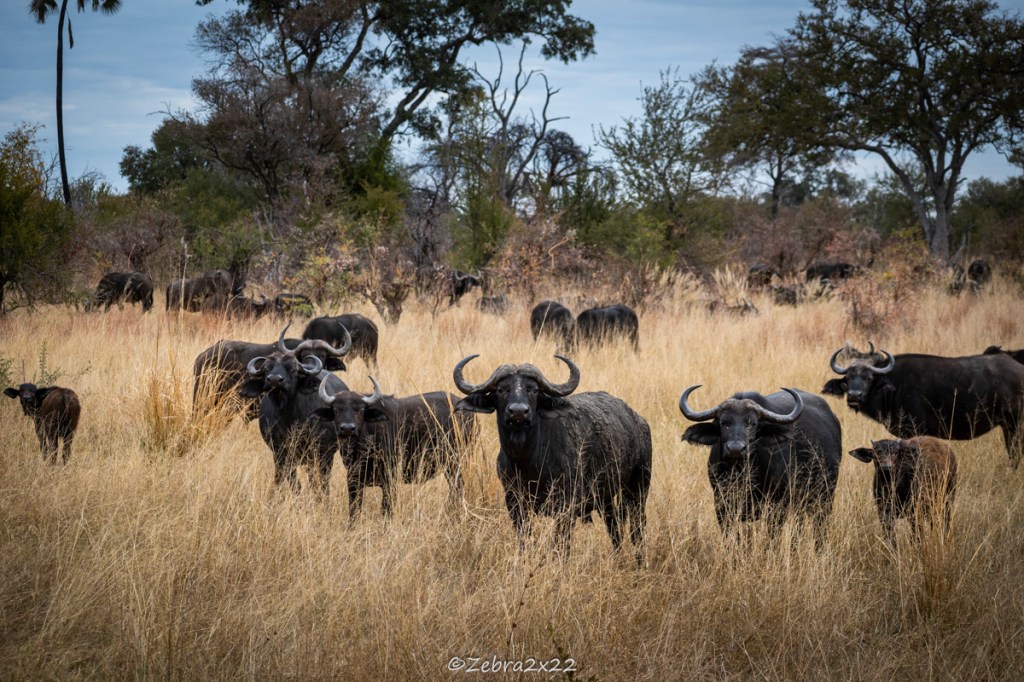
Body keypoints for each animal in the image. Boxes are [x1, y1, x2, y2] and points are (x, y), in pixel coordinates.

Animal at [314, 376, 474, 520]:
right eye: (336, 410)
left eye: (360, 410)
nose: (347, 428)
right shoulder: (353, 477)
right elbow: (354, 508)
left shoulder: (389, 479)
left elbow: (386, 508)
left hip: (455, 462)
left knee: (458, 487)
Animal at [453, 354, 652, 561]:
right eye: (501, 389)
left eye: (533, 389)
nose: (518, 411)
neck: (527, 461)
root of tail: (639, 421)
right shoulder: (514, 502)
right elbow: (525, 540)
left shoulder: (565, 507)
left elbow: (561, 546)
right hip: (607, 497)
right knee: (614, 527)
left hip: (638, 489)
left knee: (637, 528)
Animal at [680, 385, 842, 546]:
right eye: (724, 423)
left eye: (752, 423)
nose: (735, 449)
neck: (742, 473)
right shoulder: (722, 505)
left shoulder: (776, 507)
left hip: (825, 496)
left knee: (819, 526)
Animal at [823, 345, 1024, 465]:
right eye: (848, 378)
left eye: (869, 377)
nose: (854, 396)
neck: (894, 387)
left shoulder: (915, 430)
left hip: (1014, 425)